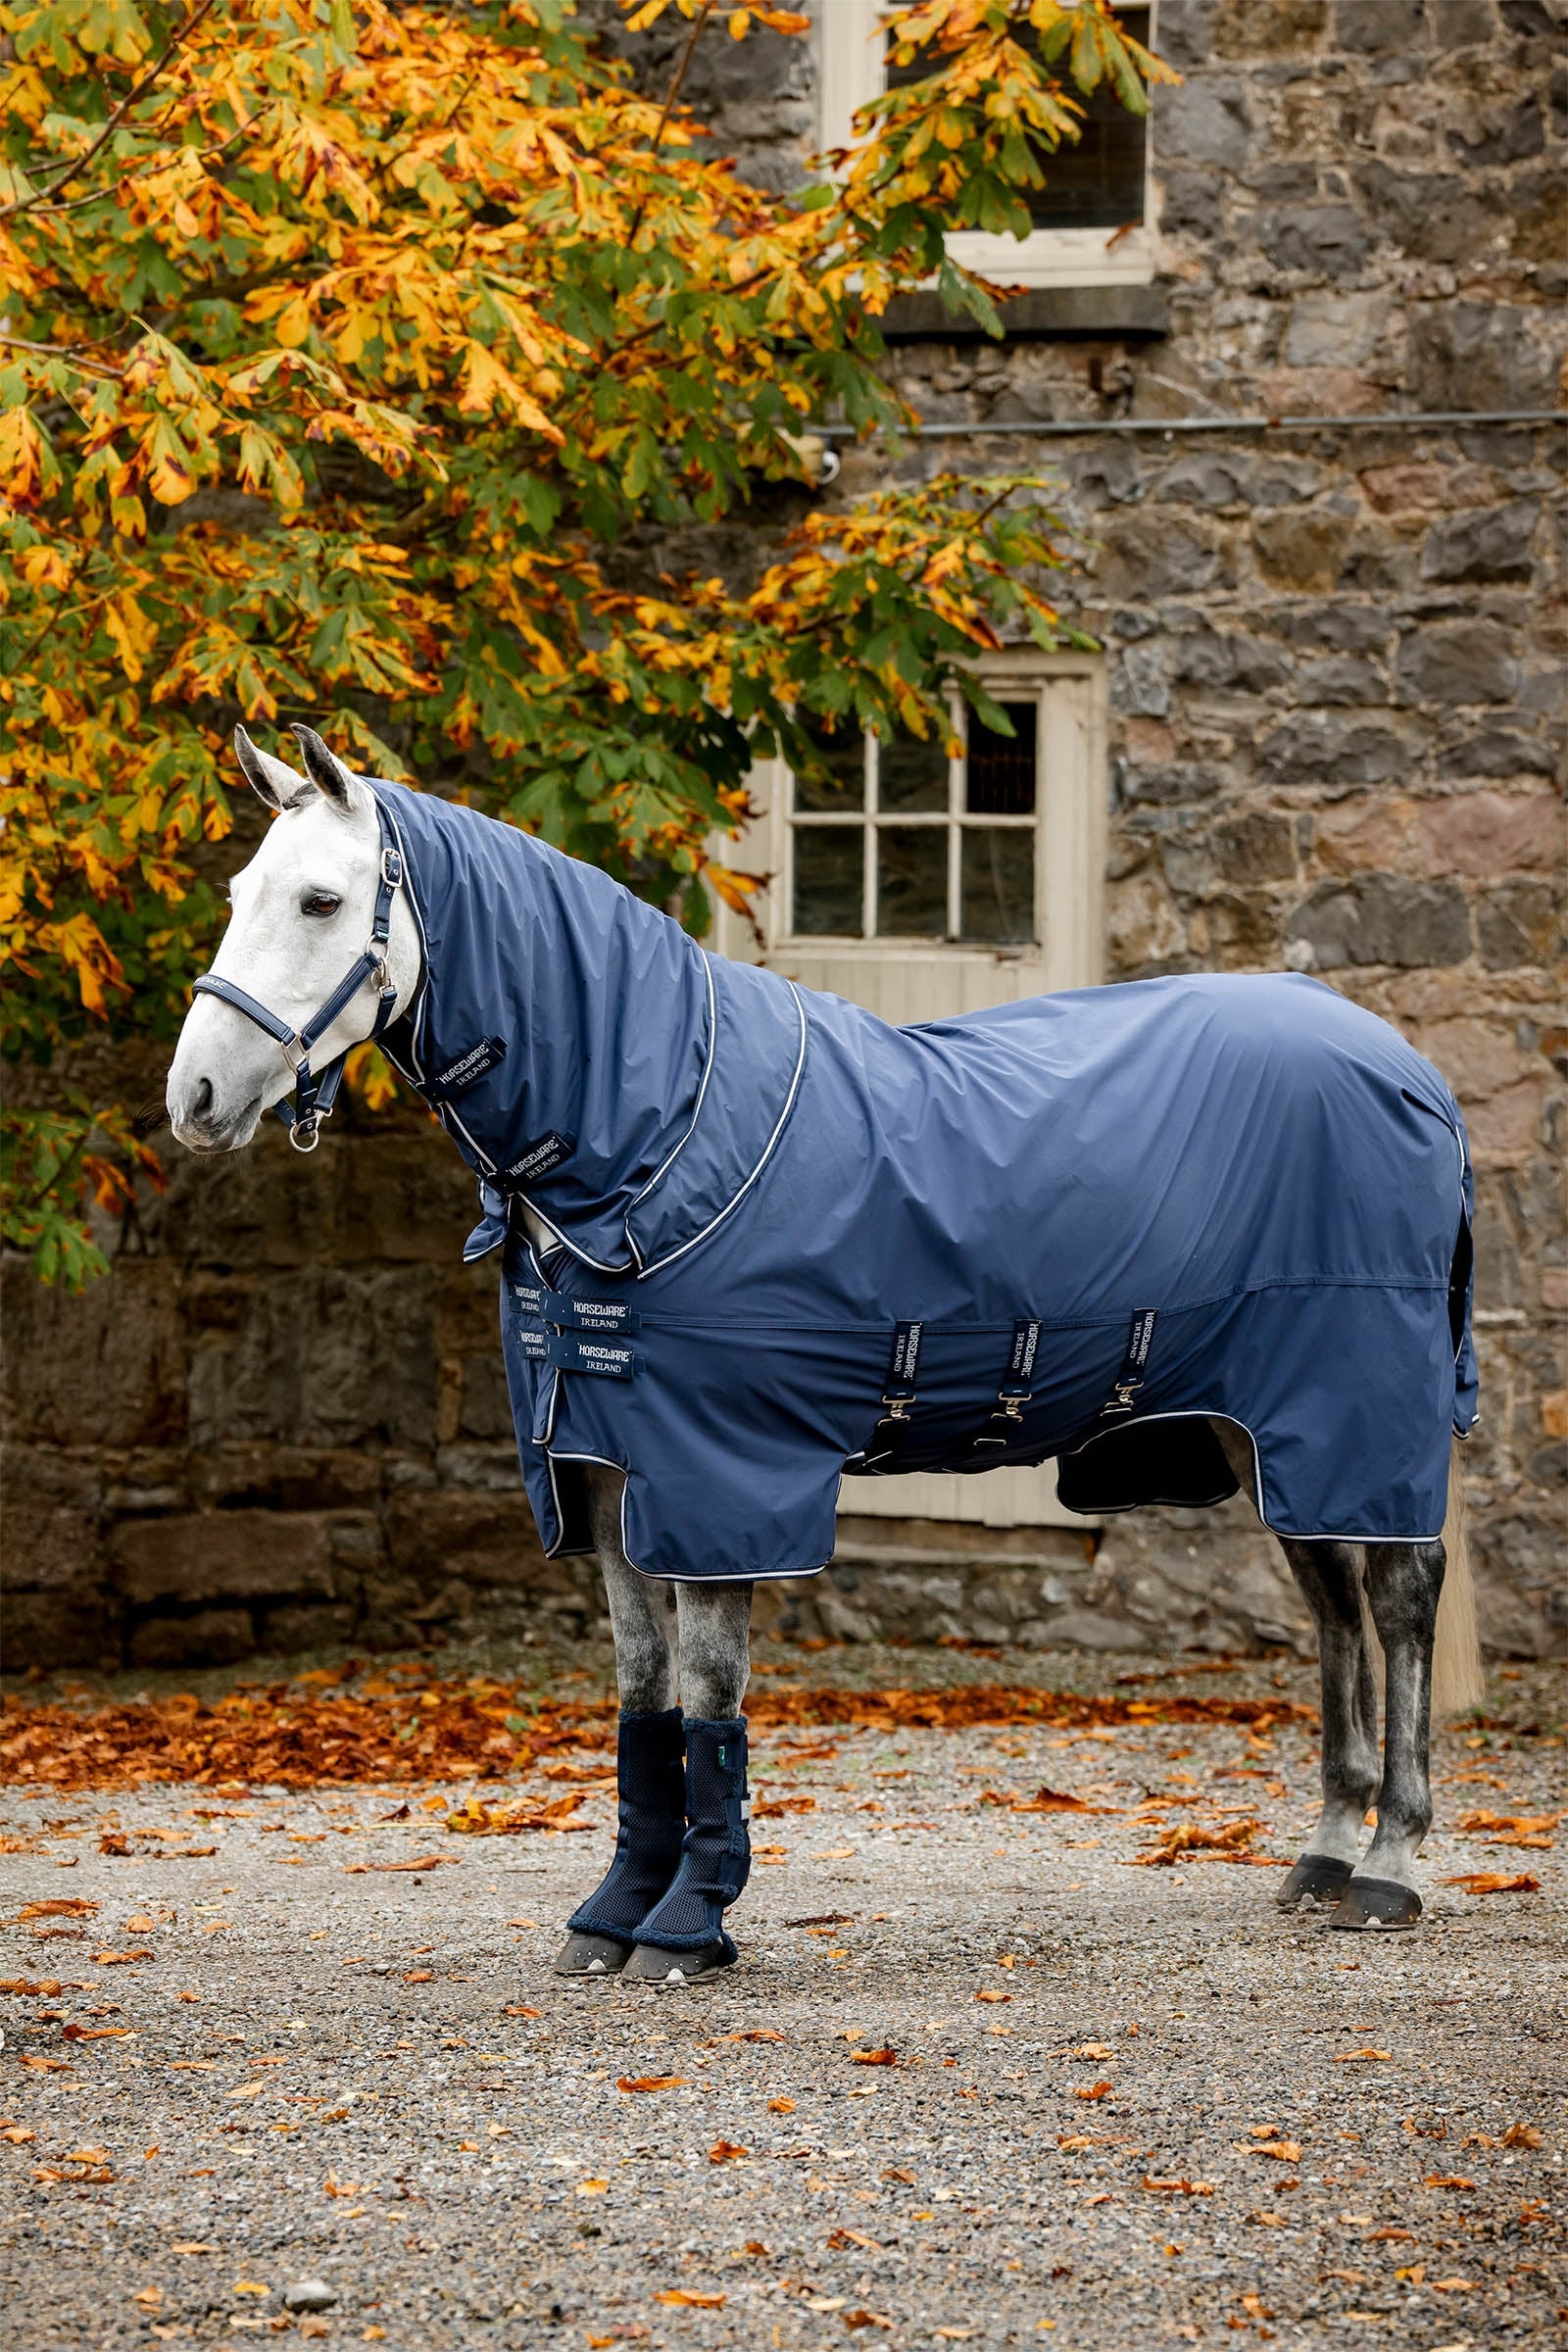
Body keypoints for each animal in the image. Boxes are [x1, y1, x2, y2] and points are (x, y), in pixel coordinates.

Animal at [166, 724, 1484, 1983]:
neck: (655, 1135)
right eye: (237, 891)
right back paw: (1325, 1850)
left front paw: (689, 1925)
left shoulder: (721, 1480)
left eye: (320, 901)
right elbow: (643, 1697)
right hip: (1271, 1432)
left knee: (1400, 1600)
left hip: (1353, 1412)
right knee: (1334, 1605)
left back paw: (1390, 1863)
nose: (194, 1097)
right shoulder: (604, 1478)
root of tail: (1404, 1065)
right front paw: (615, 1914)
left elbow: (710, 1696)